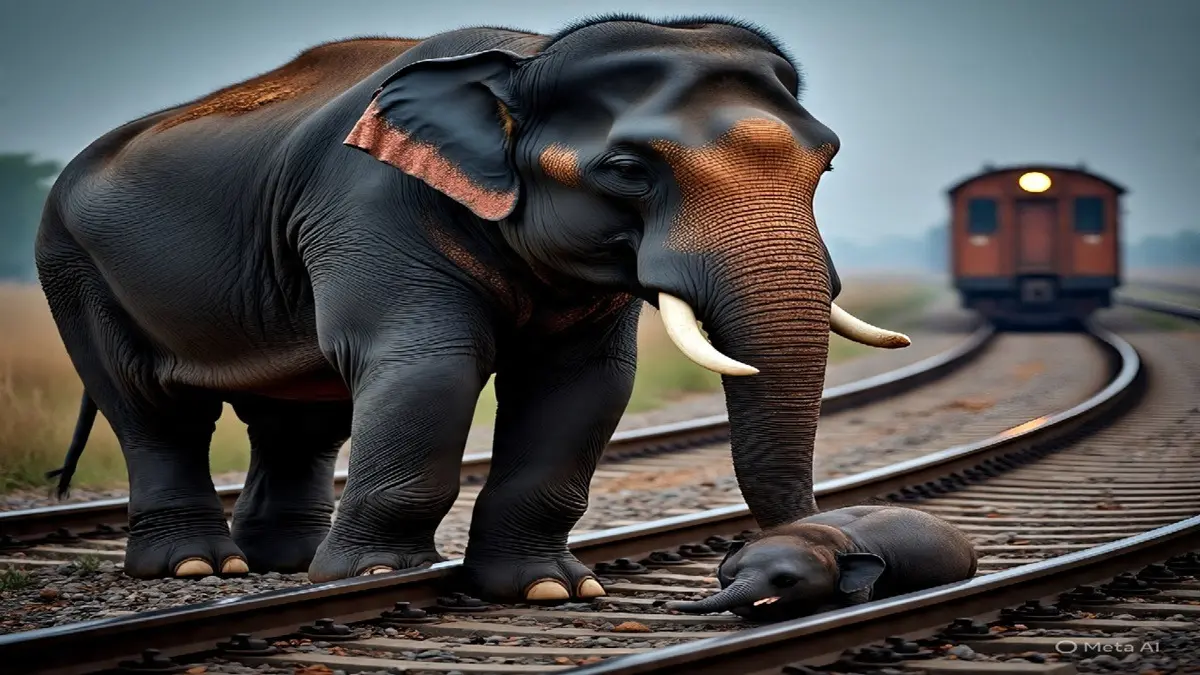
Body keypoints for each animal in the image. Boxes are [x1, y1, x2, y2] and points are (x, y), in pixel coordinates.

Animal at [36, 15, 910, 602]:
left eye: (827, 163)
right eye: (628, 169)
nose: (801, 552)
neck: (525, 58)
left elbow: (584, 386)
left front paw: (548, 588)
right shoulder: (369, 206)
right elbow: (430, 367)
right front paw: (378, 574)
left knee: (300, 417)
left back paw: (284, 561)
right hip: (73, 264)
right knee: (153, 409)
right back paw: (201, 565)